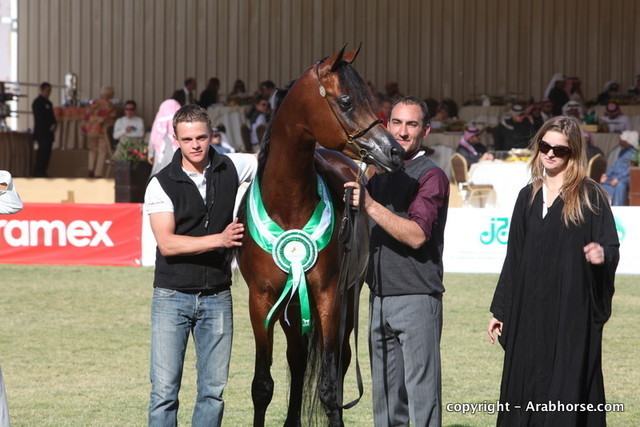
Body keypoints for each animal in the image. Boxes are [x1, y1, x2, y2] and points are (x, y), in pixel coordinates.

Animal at [237, 45, 404, 426]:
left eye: (371, 98)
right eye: (346, 101)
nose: (394, 152)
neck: (288, 208)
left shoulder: (329, 296)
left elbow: (329, 387)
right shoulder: (261, 299)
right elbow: (262, 385)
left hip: (348, 297)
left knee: (339, 362)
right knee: (298, 358)